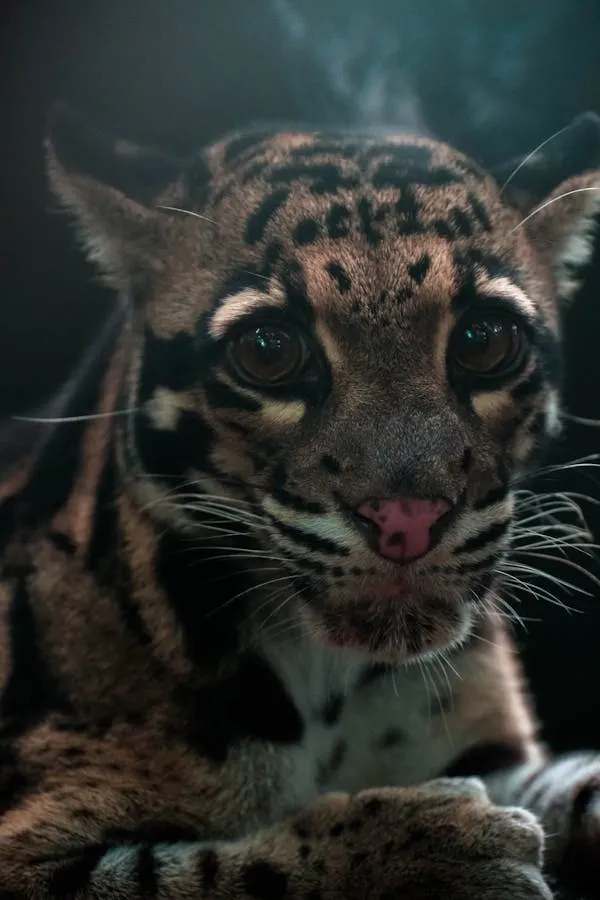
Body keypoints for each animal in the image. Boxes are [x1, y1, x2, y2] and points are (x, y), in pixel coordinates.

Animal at [1, 103, 600, 900]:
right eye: (268, 349)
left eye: (483, 339)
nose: (407, 520)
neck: (334, 683)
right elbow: (217, 870)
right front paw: (439, 846)